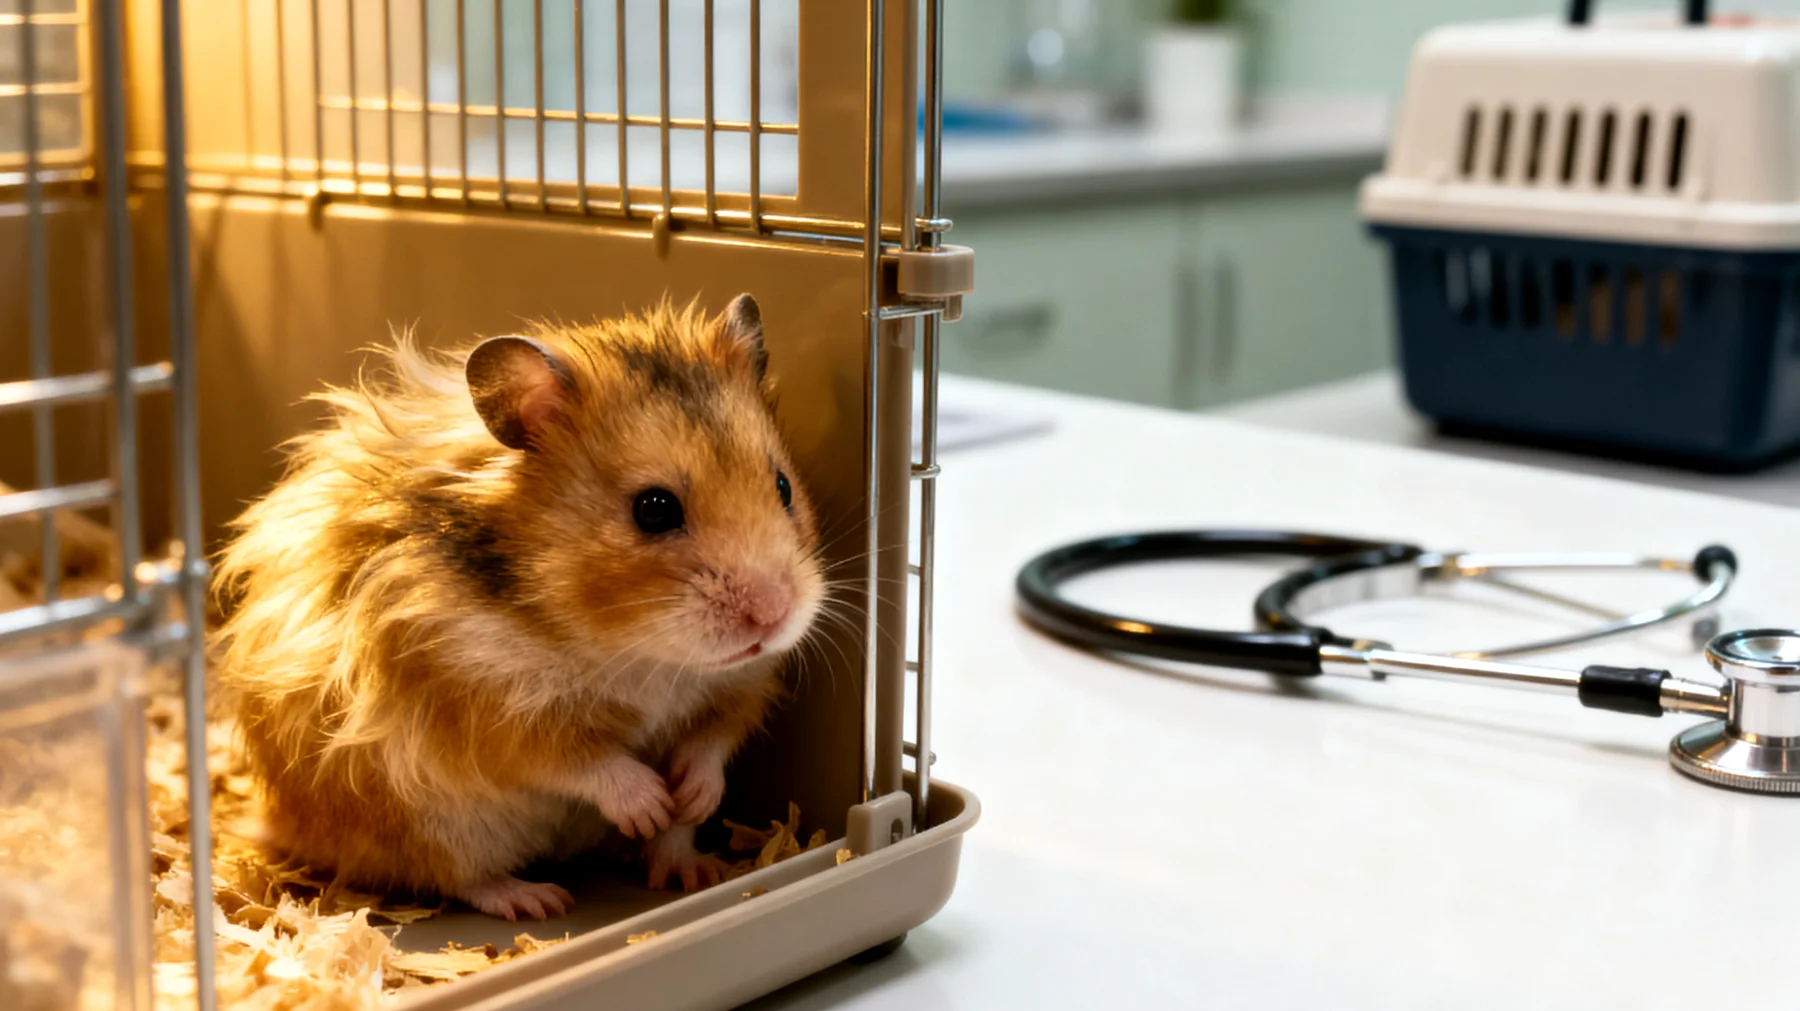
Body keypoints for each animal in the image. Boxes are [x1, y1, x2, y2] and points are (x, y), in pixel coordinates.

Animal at [211, 294, 826, 921]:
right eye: (653, 509)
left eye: (783, 486)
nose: (772, 617)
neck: (636, 651)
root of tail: (281, 823)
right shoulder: (484, 704)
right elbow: (581, 760)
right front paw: (651, 803)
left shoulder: (740, 685)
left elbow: (711, 741)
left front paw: (690, 797)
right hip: (429, 827)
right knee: (463, 879)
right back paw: (540, 900)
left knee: (664, 847)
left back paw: (694, 870)